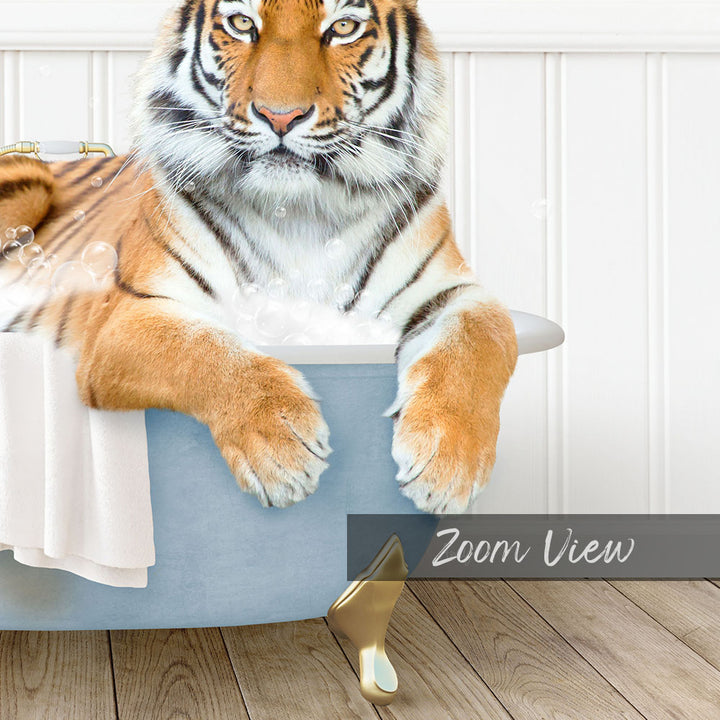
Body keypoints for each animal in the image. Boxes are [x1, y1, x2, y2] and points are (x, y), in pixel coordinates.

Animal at [0, 0, 517, 514]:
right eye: (242, 23)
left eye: (343, 27)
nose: (281, 116)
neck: (301, 213)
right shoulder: (124, 317)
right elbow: (203, 349)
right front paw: (282, 450)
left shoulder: (454, 291)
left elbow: (479, 340)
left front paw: (447, 464)